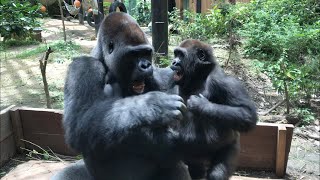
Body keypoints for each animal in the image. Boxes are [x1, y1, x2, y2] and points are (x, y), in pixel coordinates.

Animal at [52, 11, 190, 179]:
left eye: (146, 53)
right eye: (133, 54)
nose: (146, 65)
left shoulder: (157, 75)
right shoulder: (83, 66)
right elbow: (79, 119)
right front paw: (153, 105)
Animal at [170, 39, 258, 180]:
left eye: (181, 55)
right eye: (175, 54)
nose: (174, 62)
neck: (199, 75)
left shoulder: (224, 81)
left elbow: (246, 113)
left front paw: (200, 105)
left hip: (231, 145)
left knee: (217, 173)